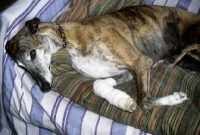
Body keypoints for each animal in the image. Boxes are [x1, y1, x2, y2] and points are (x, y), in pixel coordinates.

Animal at [5, 5, 200, 112]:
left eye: (32, 54)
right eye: (22, 67)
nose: (45, 88)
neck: (67, 39)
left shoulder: (140, 61)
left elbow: (144, 102)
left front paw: (176, 98)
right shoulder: (129, 71)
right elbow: (98, 84)